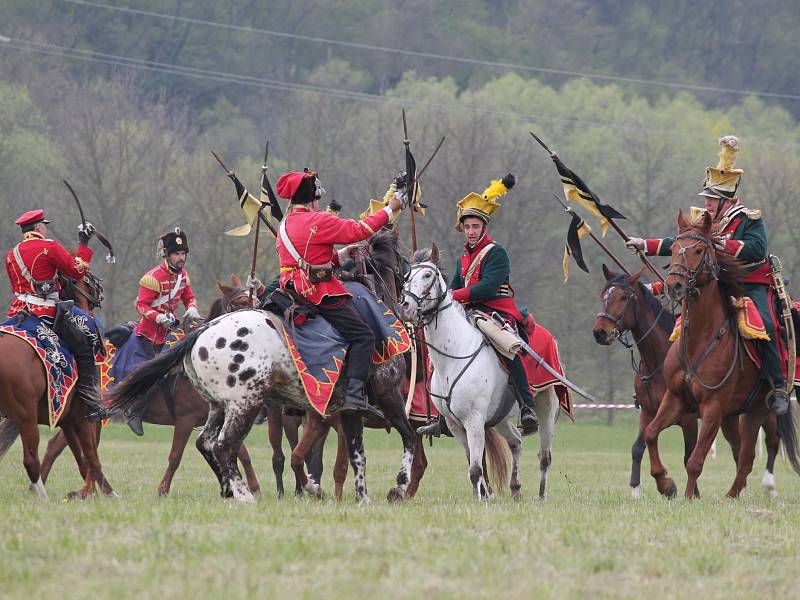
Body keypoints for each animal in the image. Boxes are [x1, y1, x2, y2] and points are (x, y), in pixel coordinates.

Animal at [0, 270, 115, 500]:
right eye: (87, 277)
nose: (99, 287)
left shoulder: (67, 419)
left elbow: (82, 460)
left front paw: (88, 493)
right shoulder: (82, 416)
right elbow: (92, 455)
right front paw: (107, 494)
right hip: (25, 416)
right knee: (30, 460)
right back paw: (43, 498)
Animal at [39, 276, 260, 496]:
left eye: (256, 299)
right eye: (241, 302)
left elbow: (241, 453)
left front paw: (254, 487)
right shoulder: (185, 420)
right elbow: (175, 456)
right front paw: (163, 489)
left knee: (60, 447)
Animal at [396, 246, 560, 500]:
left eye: (427, 275)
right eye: (406, 277)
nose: (405, 306)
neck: (454, 354)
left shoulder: (474, 420)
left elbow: (475, 467)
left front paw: (482, 499)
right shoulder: (455, 424)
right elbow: (473, 466)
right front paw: (481, 496)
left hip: (546, 407)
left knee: (544, 456)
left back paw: (541, 495)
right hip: (501, 418)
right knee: (516, 443)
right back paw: (515, 489)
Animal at [592, 266, 780, 496]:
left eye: (624, 296)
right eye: (604, 295)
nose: (600, 332)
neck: (658, 359)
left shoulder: (688, 418)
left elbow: (688, 454)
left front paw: (689, 493)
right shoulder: (649, 413)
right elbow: (639, 446)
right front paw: (640, 488)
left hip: (762, 411)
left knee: (772, 440)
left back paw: (769, 486)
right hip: (730, 417)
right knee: (739, 448)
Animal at [644, 209, 800, 500]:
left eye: (698, 250)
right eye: (675, 248)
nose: (674, 286)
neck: (701, 338)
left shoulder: (713, 408)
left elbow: (695, 460)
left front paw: (689, 496)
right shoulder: (676, 399)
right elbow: (650, 433)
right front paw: (665, 483)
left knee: (749, 454)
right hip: (749, 411)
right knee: (745, 456)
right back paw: (732, 495)